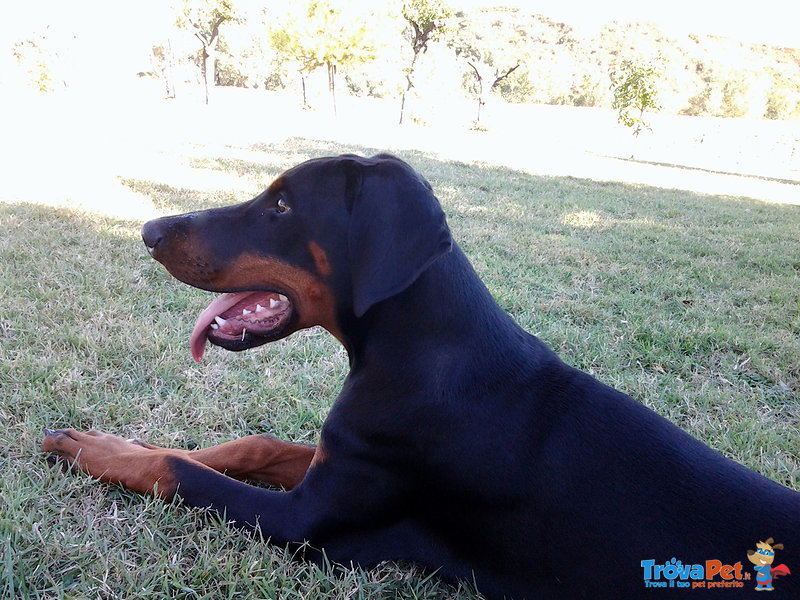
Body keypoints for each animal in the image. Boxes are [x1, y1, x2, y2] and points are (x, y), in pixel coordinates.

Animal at [45, 154, 800, 596]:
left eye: (283, 205)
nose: (148, 231)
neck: (417, 352)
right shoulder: (340, 457)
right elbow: (246, 446)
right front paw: (119, 441)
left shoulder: (307, 522)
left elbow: (182, 472)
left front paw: (98, 451)